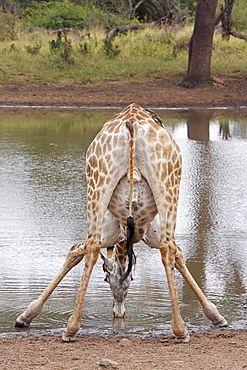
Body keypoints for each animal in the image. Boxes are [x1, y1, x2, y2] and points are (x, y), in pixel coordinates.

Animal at [14, 103, 228, 342]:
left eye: (109, 279)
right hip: (156, 182)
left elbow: (76, 250)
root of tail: (132, 123)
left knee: (97, 244)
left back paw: (71, 328)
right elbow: (76, 251)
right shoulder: (134, 231)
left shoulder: (127, 231)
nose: (118, 311)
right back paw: (179, 330)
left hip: (104, 181)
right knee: (164, 247)